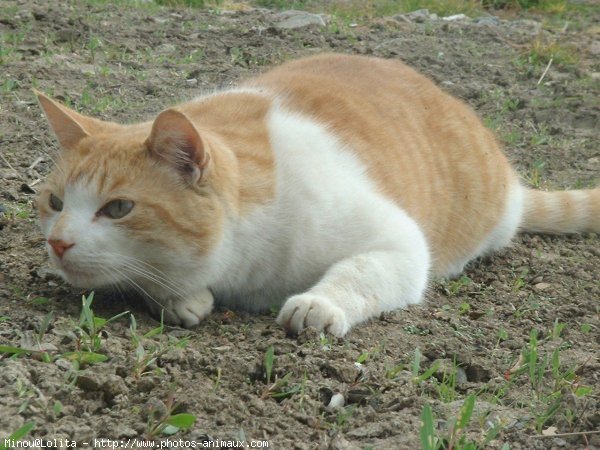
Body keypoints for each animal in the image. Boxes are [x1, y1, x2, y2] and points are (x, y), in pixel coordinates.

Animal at [36, 52, 596, 336]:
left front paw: (317, 305)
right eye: (56, 204)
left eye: (118, 208)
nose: (57, 243)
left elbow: (360, 271)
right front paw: (182, 299)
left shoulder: (400, 243)